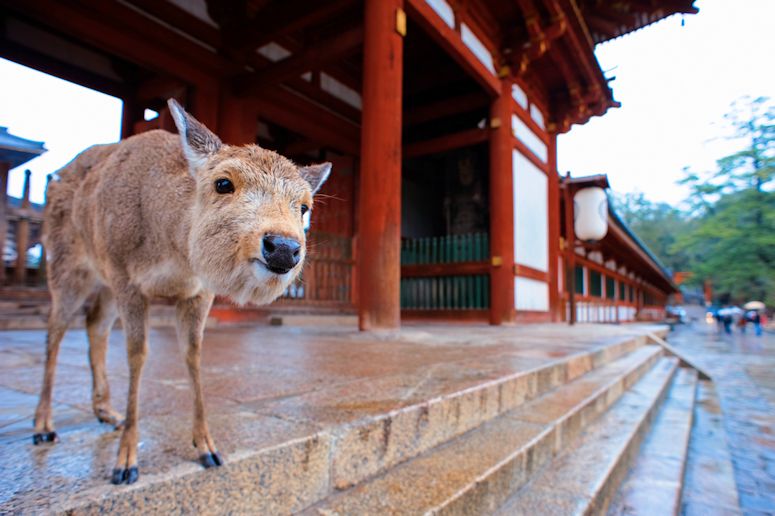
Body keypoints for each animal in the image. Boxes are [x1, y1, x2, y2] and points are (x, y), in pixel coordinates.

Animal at [31, 99, 330, 486]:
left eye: (304, 207)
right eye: (223, 183)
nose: (283, 247)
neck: (171, 254)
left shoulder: (197, 291)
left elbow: (193, 354)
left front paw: (208, 448)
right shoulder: (128, 277)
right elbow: (137, 354)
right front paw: (125, 463)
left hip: (104, 280)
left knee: (95, 325)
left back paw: (107, 412)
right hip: (67, 264)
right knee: (55, 329)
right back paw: (43, 426)